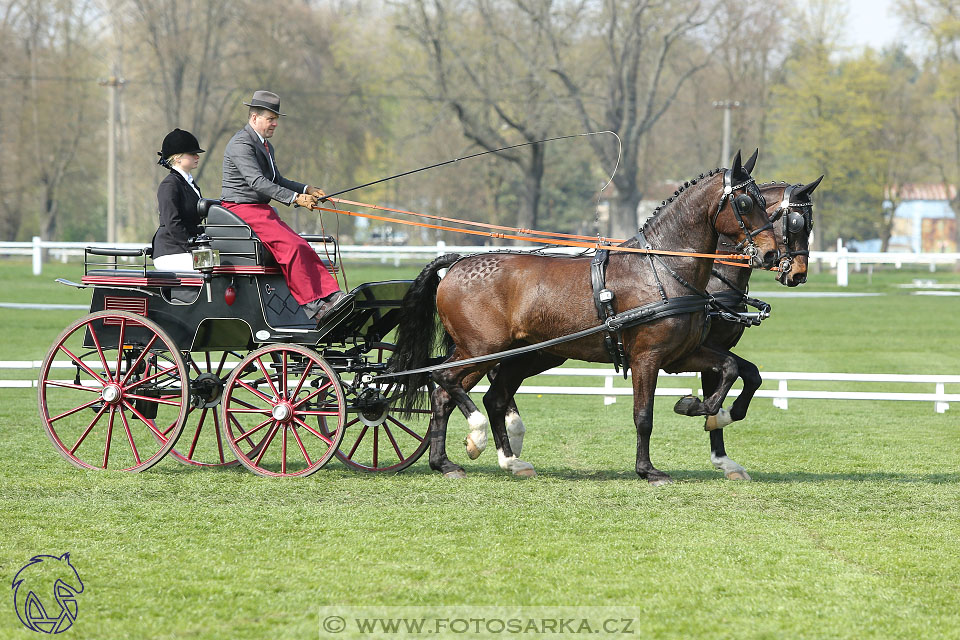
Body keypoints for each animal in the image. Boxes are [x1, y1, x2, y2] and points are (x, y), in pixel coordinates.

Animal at [388, 152, 780, 482]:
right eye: (745, 203)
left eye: (767, 206)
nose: (772, 255)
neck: (662, 269)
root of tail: (456, 262)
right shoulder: (647, 358)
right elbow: (644, 417)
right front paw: (648, 470)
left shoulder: (681, 355)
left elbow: (735, 368)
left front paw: (703, 409)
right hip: (482, 349)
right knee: (443, 378)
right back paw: (477, 436)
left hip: (509, 354)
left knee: (459, 395)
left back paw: (459, 462)